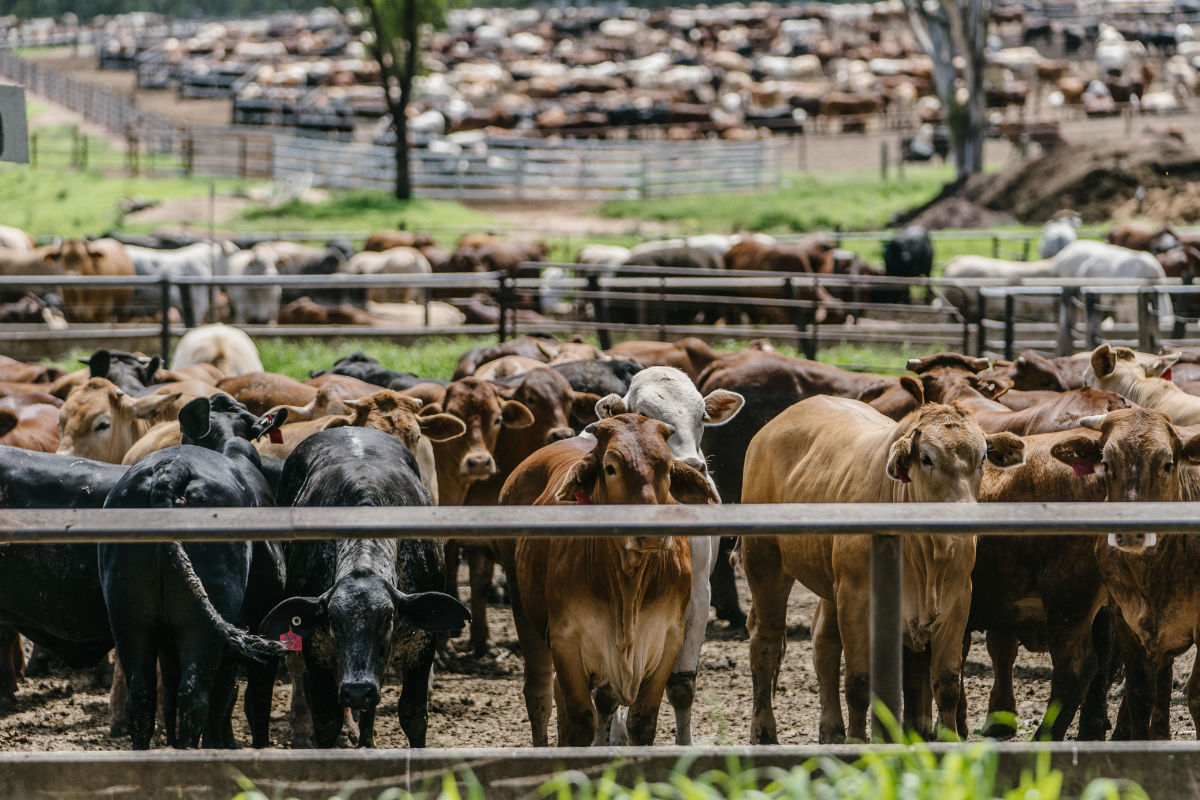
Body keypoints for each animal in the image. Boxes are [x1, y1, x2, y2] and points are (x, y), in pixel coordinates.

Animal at [100, 395, 288, 753]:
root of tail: (172, 471)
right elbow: (244, 698)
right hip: (203, 625)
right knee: (196, 694)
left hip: (128, 617)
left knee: (143, 696)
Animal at [262, 429, 468, 748]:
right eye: (333, 620)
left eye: (387, 618)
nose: (358, 690)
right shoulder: (317, 646)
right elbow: (327, 717)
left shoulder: (423, 644)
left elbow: (413, 714)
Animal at [494, 417, 715, 748]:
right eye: (611, 467)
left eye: (666, 467)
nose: (651, 532)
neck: (629, 583)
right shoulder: (565, 641)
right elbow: (581, 723)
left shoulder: (668, 640)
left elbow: (641, 723)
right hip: (523, 612)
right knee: (539, 694)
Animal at [739, 383, 1022, 743]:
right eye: (927, 458)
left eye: (983, 457)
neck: (927, 557)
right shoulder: (857, 599)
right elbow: (859, 682)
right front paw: (858, 741)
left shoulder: (958, 601)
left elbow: (946, 683)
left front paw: (948, 740)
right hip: (764, 561)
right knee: (766, 641)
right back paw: (764, 730)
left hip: (829, 585)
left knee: (824, 642)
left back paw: (831, 728)